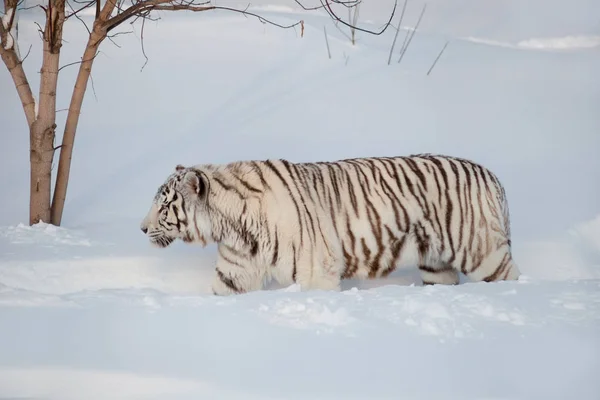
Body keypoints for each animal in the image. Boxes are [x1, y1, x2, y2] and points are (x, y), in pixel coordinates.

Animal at [141, 155, 520, 296]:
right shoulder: (235, 271)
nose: (142, 229)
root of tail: (494, 177)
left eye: (164, 204)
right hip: (436, 264)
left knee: (509, 277)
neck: (234, 226)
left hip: (482, 252)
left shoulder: (316, 271)